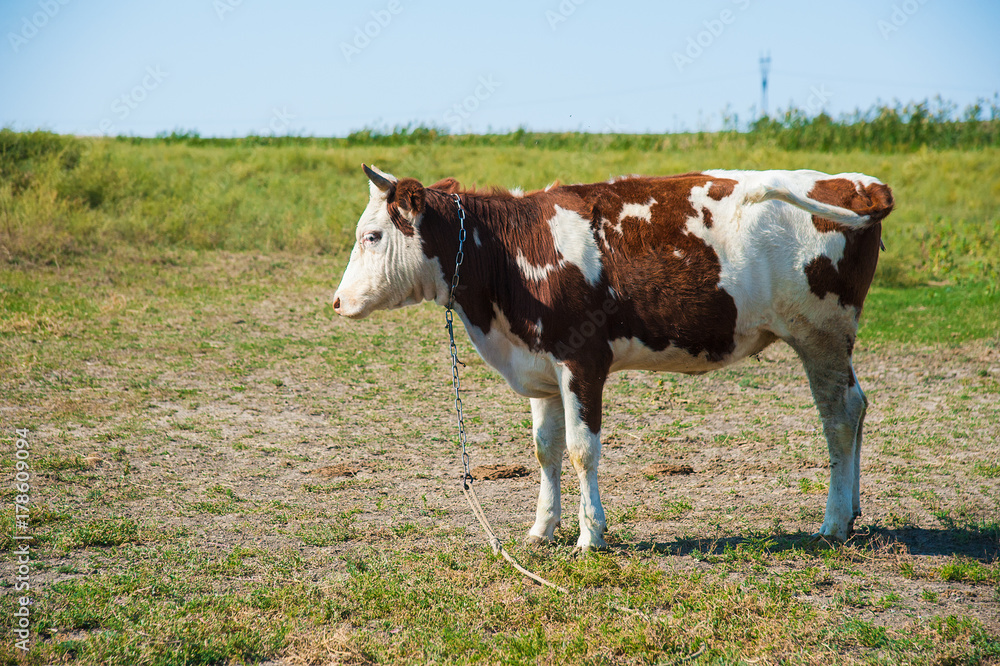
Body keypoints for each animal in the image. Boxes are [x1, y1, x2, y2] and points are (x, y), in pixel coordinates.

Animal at [333, 164, 894, 552]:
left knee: (840, 416)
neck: (510, 255)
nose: (337, 302)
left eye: (372, 236)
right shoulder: (541, 365)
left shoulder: (582, 360)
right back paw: (853, 511)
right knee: (859, 407)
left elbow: (582, 450)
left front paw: (590, 536)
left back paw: (833, 522)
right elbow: (546, 449)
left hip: (820, 334)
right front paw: (541, 529)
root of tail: (855, 182)